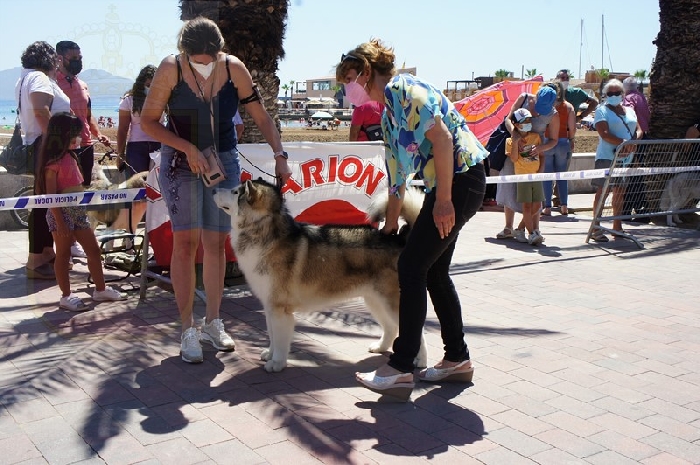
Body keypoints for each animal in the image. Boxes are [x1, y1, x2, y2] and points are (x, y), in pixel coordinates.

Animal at [213, 179, 427, 373]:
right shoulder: (269, 306)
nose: (213, 189)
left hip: (391, 303)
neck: (265, 233)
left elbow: (280, 340)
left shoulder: (280, 309)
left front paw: (277, 363)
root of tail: (399, 239)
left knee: (416, 331)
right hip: (374, 301)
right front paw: (270, 353)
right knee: (391, 328)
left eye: (235, 192)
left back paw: (420, 361)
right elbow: (272, 335)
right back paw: (381, 347)